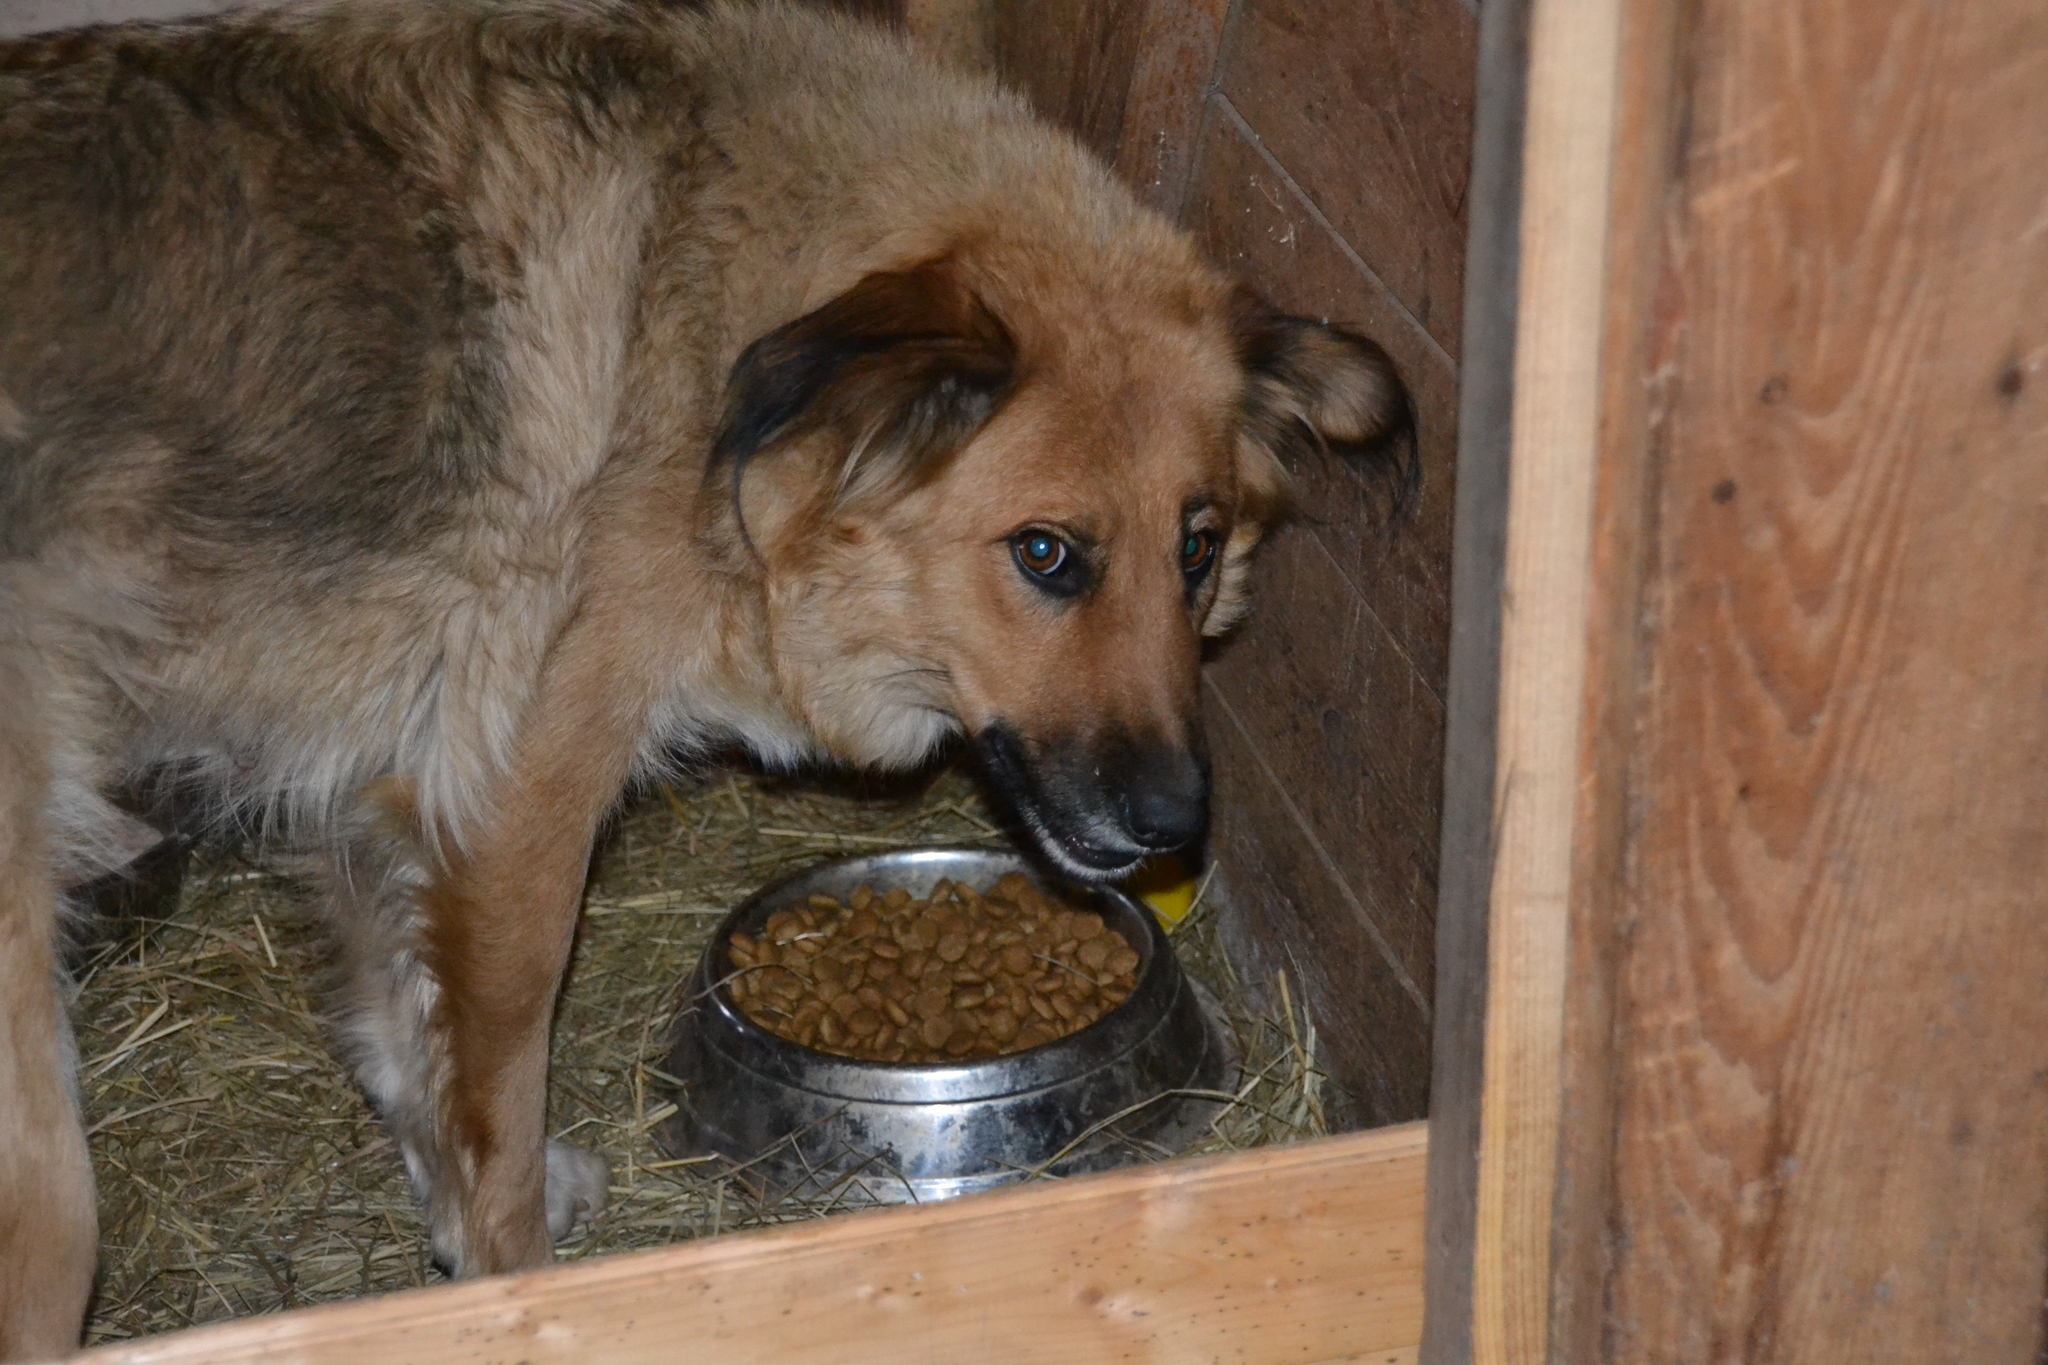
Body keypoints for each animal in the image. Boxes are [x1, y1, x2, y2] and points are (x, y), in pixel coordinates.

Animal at [0, 0, 1409, 1350]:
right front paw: (516, 1292)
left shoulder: (376, 802)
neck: (704, 319)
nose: (1177, 823)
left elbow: (409, 1051)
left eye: (1197, 545)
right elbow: (493, 1117)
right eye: (1047, 555)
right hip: (48, 1153)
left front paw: (447, 1247)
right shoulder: (509, 831)